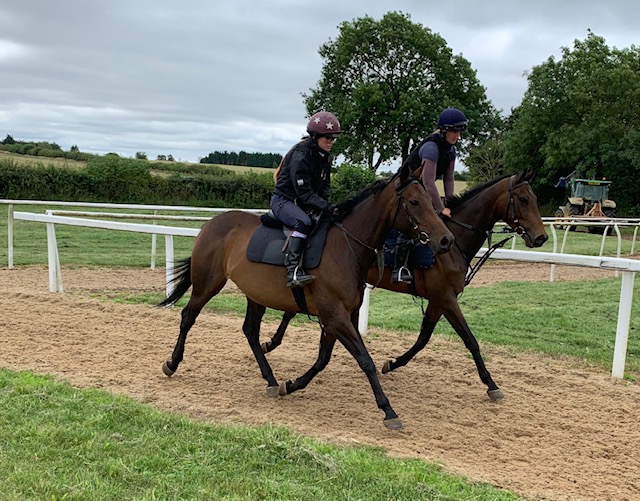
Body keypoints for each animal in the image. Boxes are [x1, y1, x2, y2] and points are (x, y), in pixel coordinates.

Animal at [159, 162, 456, 428]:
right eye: (415, 202)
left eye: (430, 200)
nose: (446, 240)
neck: (344, 247)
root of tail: (212, 223)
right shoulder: (335, 316)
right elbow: (365, 360)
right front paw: (388, 411)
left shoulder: (340, 316)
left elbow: (323, 359)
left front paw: (291, 385)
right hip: (208, 283)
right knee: (188, 316)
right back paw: (172, 363)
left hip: (255, 295)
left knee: (250, 331)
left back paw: (271, 380)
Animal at [262, 170, 548, 400]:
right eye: (523, 199)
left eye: (535, 199)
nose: (541, 237)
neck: (455, 242)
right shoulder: (445, 297)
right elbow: (470, 340)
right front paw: (491, 384)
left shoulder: (438, 300)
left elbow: (423, 338)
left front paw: (392, 363)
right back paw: (270, 343)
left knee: (292, 309)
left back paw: (271, 343)